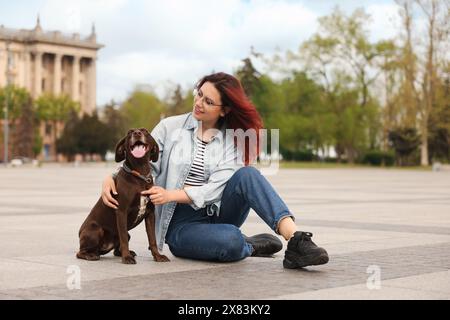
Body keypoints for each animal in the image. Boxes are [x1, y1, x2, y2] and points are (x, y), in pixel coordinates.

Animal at [76, 129, 170, 264]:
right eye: (129, 133)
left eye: (145, 131)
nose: (137, 133)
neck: (139, 175)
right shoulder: (121, 212)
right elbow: (124, 239)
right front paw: (126, 258)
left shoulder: (150, 214)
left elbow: (152, 239)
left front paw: (157, 256)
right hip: (95, 230)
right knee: (80, 252)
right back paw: (91, 255)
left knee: (116, 249)